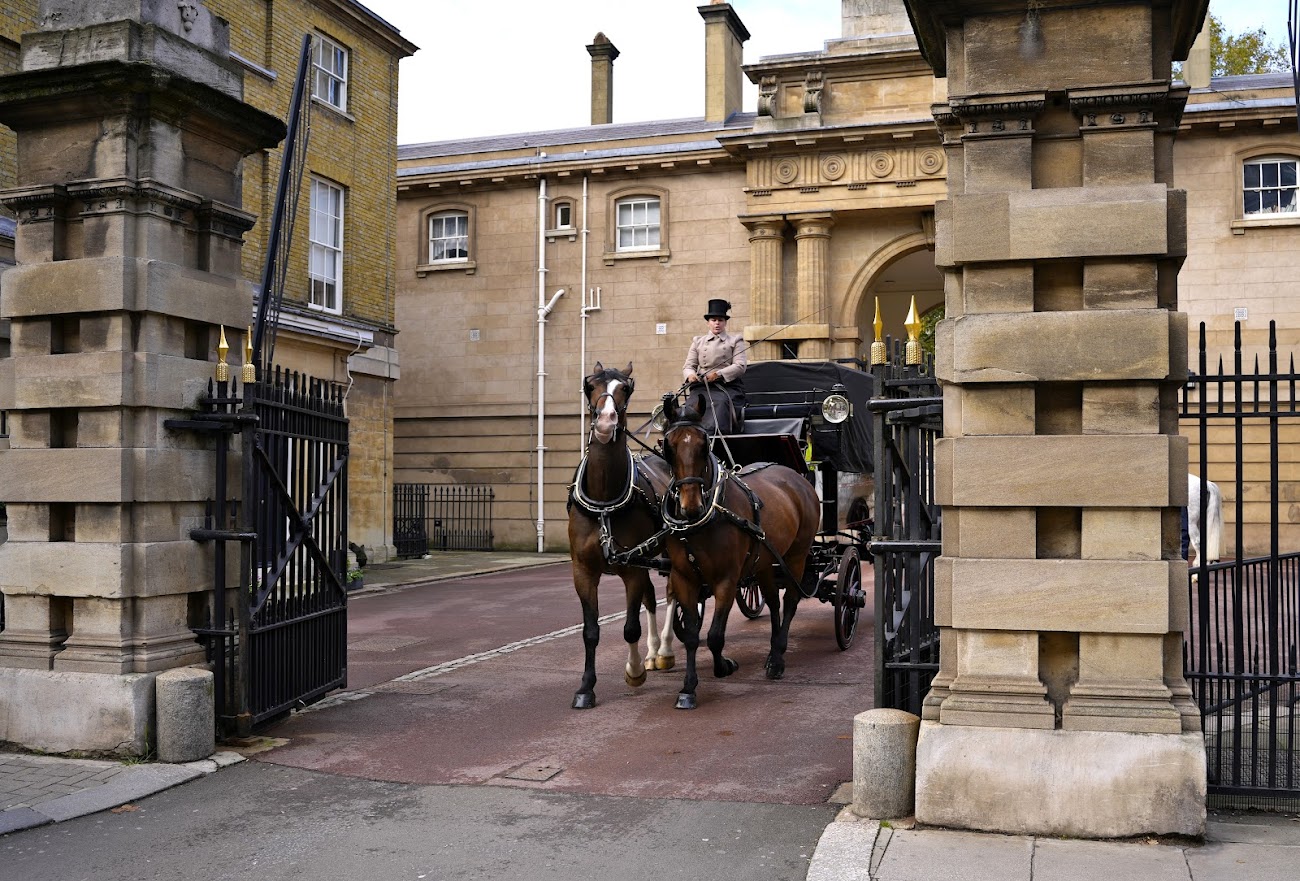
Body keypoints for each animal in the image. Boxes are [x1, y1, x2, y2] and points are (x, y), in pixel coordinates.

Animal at [564, 361, 676, 712]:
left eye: (626, 387)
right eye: (590, 385)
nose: (604, 422)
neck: (604, 502)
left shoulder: (631, 569)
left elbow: (629, 627)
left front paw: (635, 671)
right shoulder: (583, 571)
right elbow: (590, 631)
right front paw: (586, 688)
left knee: (672, 593)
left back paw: (664, 650)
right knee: (653, 598)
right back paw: (654, 654)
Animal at [660, 392, 821, 712]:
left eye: (704, 444)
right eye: (668, 447)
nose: (690, 507)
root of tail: (796, 477)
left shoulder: (726, 579)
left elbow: (714, 635)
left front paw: (723, 666)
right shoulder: (684, 578)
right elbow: (693, 636)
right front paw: (688, 688)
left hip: (796, 557)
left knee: (791, 602)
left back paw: (778, 658)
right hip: (766, 561)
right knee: (773, 601)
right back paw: (772, 652)